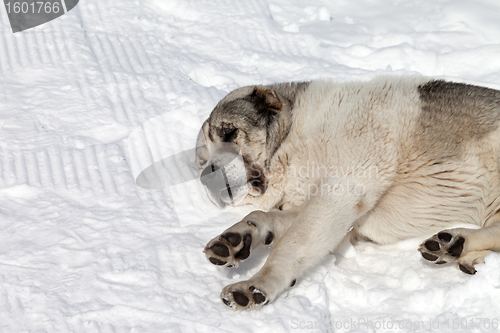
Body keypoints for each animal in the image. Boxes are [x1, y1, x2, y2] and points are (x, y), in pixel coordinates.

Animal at [194, 75, 500, 308]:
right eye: (201, 160)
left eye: (229, 133)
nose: (205, 177)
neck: (295, 139)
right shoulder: (341, 217)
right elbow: (264, 217)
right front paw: (239, 238)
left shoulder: (338, 192)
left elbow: (290, 244)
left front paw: (256, 284)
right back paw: (458, 250)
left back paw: (457, 243)